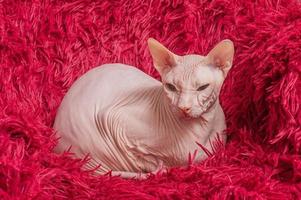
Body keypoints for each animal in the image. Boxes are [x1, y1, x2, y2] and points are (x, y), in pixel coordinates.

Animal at [52, 38, 233, 179]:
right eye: (171, 87)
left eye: (202, 87)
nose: (184, 108)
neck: (201, 130)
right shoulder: (113, 119)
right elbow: (142, 156)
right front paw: (161, 167)